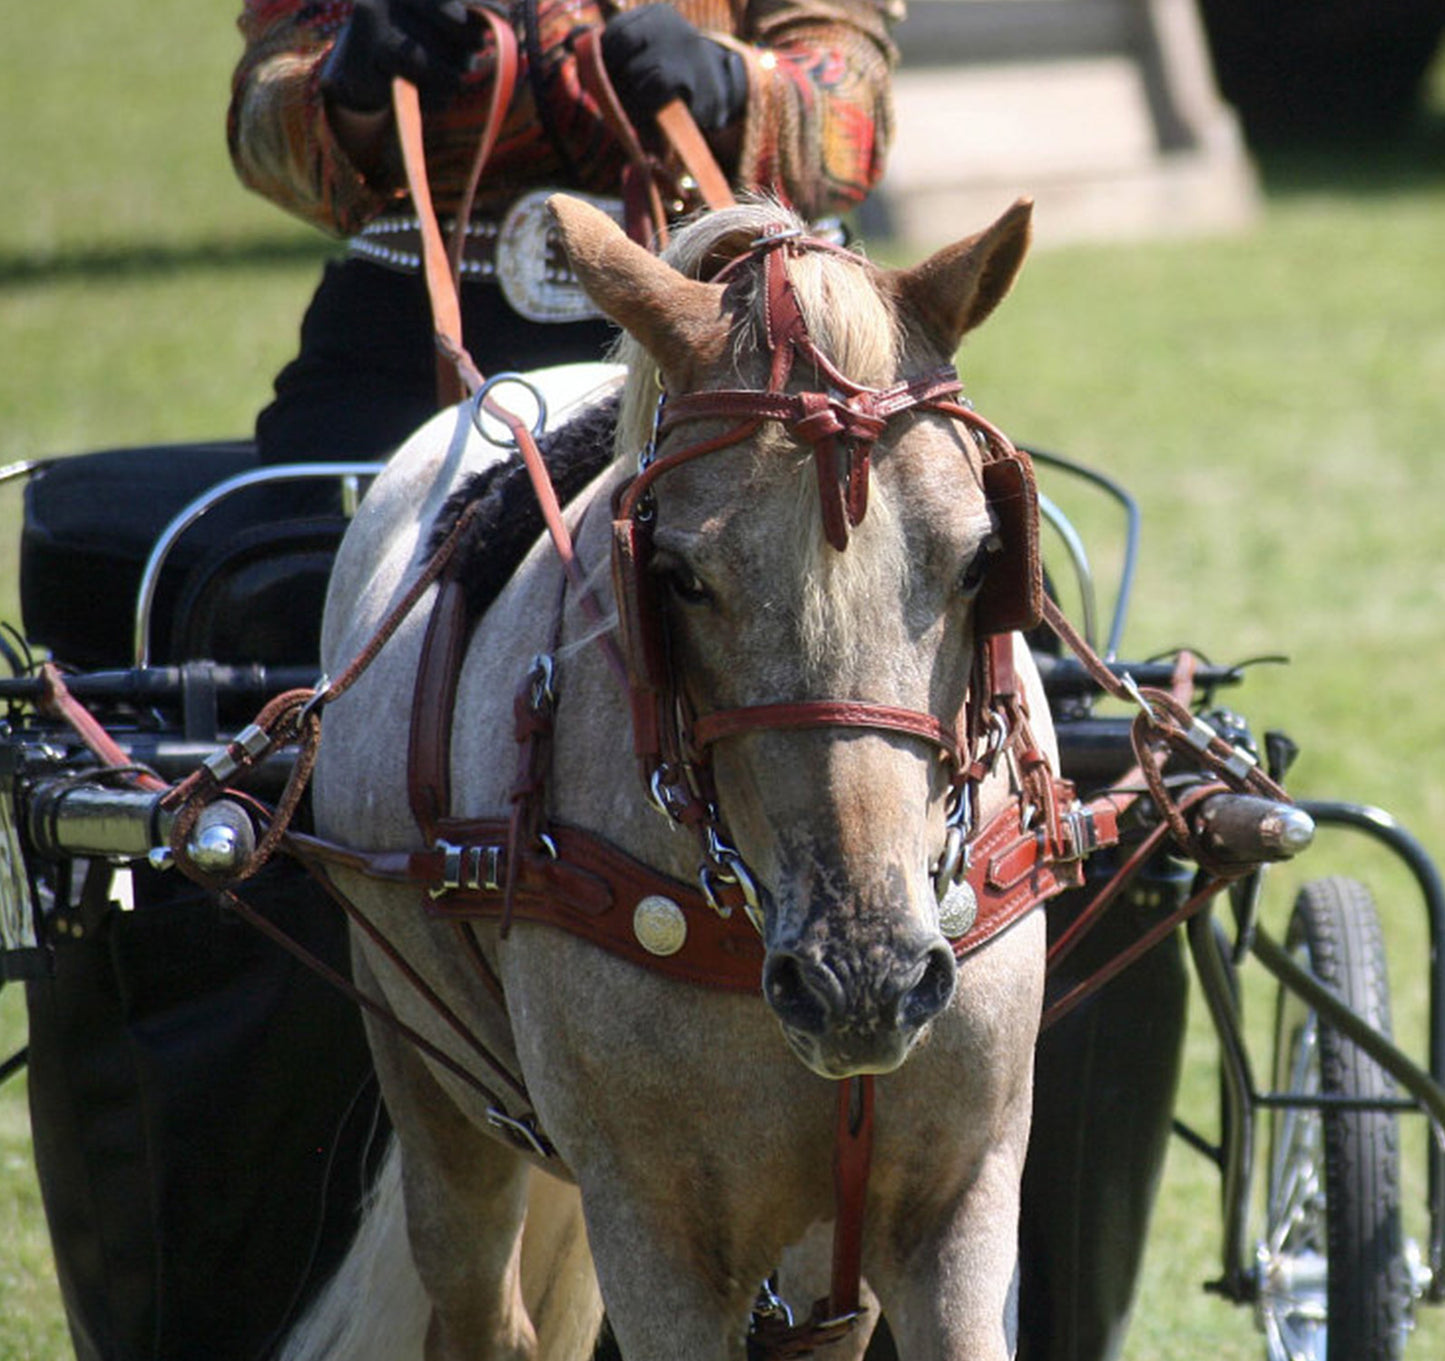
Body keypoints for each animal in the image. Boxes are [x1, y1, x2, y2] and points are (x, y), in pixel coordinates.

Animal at [287, 195, 1069, 1361]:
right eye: (678, 576)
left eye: (982, 559)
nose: (861, 977)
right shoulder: (654, 1239)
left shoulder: (952, 1211)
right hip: (428, 1082)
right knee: (478, 1297)